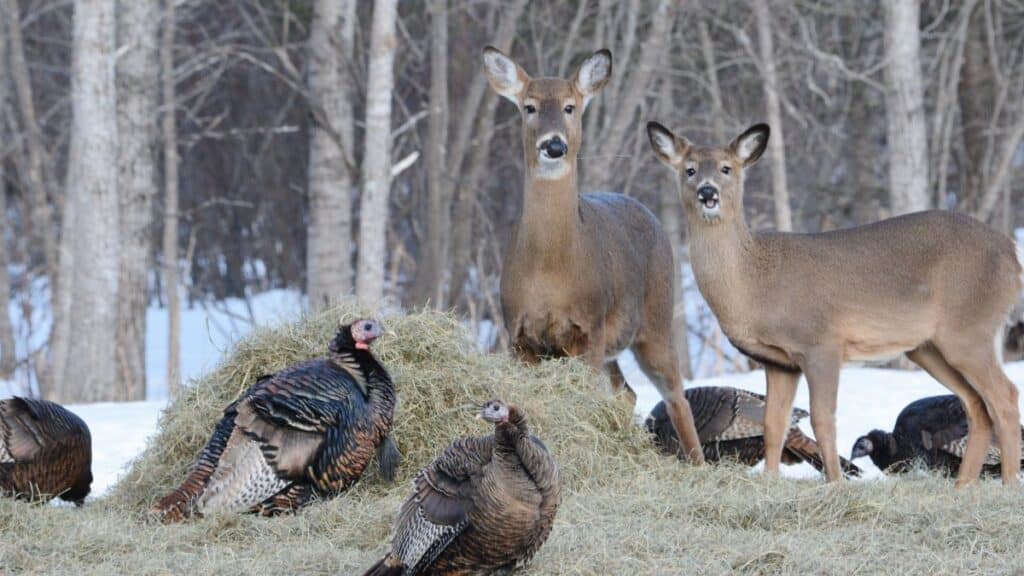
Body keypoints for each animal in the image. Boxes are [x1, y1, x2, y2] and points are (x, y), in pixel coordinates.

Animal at [481, 46, 705, 465]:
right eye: (529, 107)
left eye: (570, 106)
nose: (554, 145)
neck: (550, 269)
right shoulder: (517, 333)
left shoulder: (589, 326)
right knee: (627, 392)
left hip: (656, 321)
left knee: (676, 395)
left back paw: (698, 465)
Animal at [646, 120, 1023, 486]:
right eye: (690, 169)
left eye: (726, 168)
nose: (707, 192)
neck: (755, 284)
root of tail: (1011, 253)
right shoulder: (779, 362)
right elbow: (773, 423)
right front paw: (771, 483)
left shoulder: (821, 342)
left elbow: (822, 418)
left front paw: (836, 484)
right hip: (929, 347)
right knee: (976, 405)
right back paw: (963, 487)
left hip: (969, 329)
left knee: (1005, 396)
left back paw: (1006, 485)